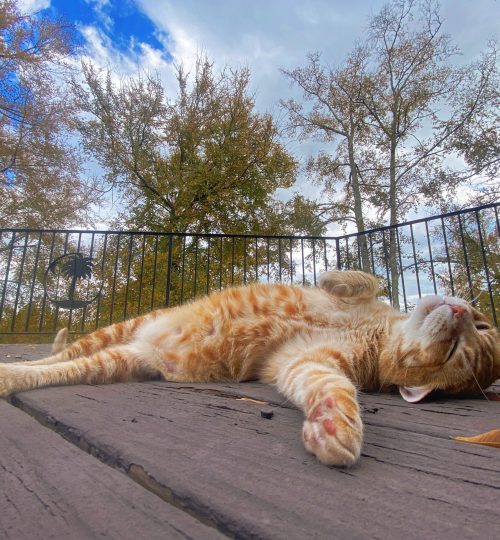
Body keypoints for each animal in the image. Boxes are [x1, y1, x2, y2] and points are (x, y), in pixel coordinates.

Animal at [1, 272, 498, 466]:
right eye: (478, 324)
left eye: (456, 351)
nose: (458, 309)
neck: (378, 334)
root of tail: (144, 342)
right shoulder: (361, 305)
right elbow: (366, 279)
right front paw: (337, 278)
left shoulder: (306, 362)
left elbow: (331, 388)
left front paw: (333, 423)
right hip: (116, 331)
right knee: (57, 355)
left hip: (115, 360)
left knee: (57, 369)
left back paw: (9, 374)